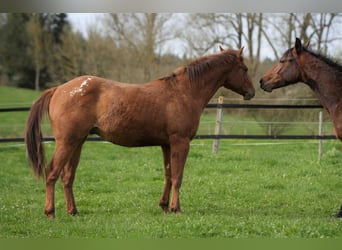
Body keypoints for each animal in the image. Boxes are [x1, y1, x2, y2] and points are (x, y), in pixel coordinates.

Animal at [26, 47, 254, 219]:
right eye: (244, 68)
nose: (252, 92)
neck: (183, 92)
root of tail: (58, 89)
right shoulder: (180, 142)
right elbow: (178, 176)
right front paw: (176, 208)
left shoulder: (167, 145)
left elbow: (169, 174)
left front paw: (164, 206)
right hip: (67, 142)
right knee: (52, 172)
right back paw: (50, 212)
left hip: (78, 142)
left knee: (67, 176)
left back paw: (73, 211)